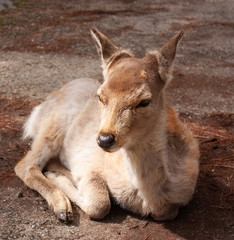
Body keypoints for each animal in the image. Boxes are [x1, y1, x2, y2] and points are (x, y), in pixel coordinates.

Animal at [14, 28, 199, 223]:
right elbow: (99, 204)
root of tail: (41, 107)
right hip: (53, 126)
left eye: (144, 101)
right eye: (100, 96)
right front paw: (62, 180)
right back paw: (61, 206)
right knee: (25, 165)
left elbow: (168, 212)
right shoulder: (89, 164)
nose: (104, 139)